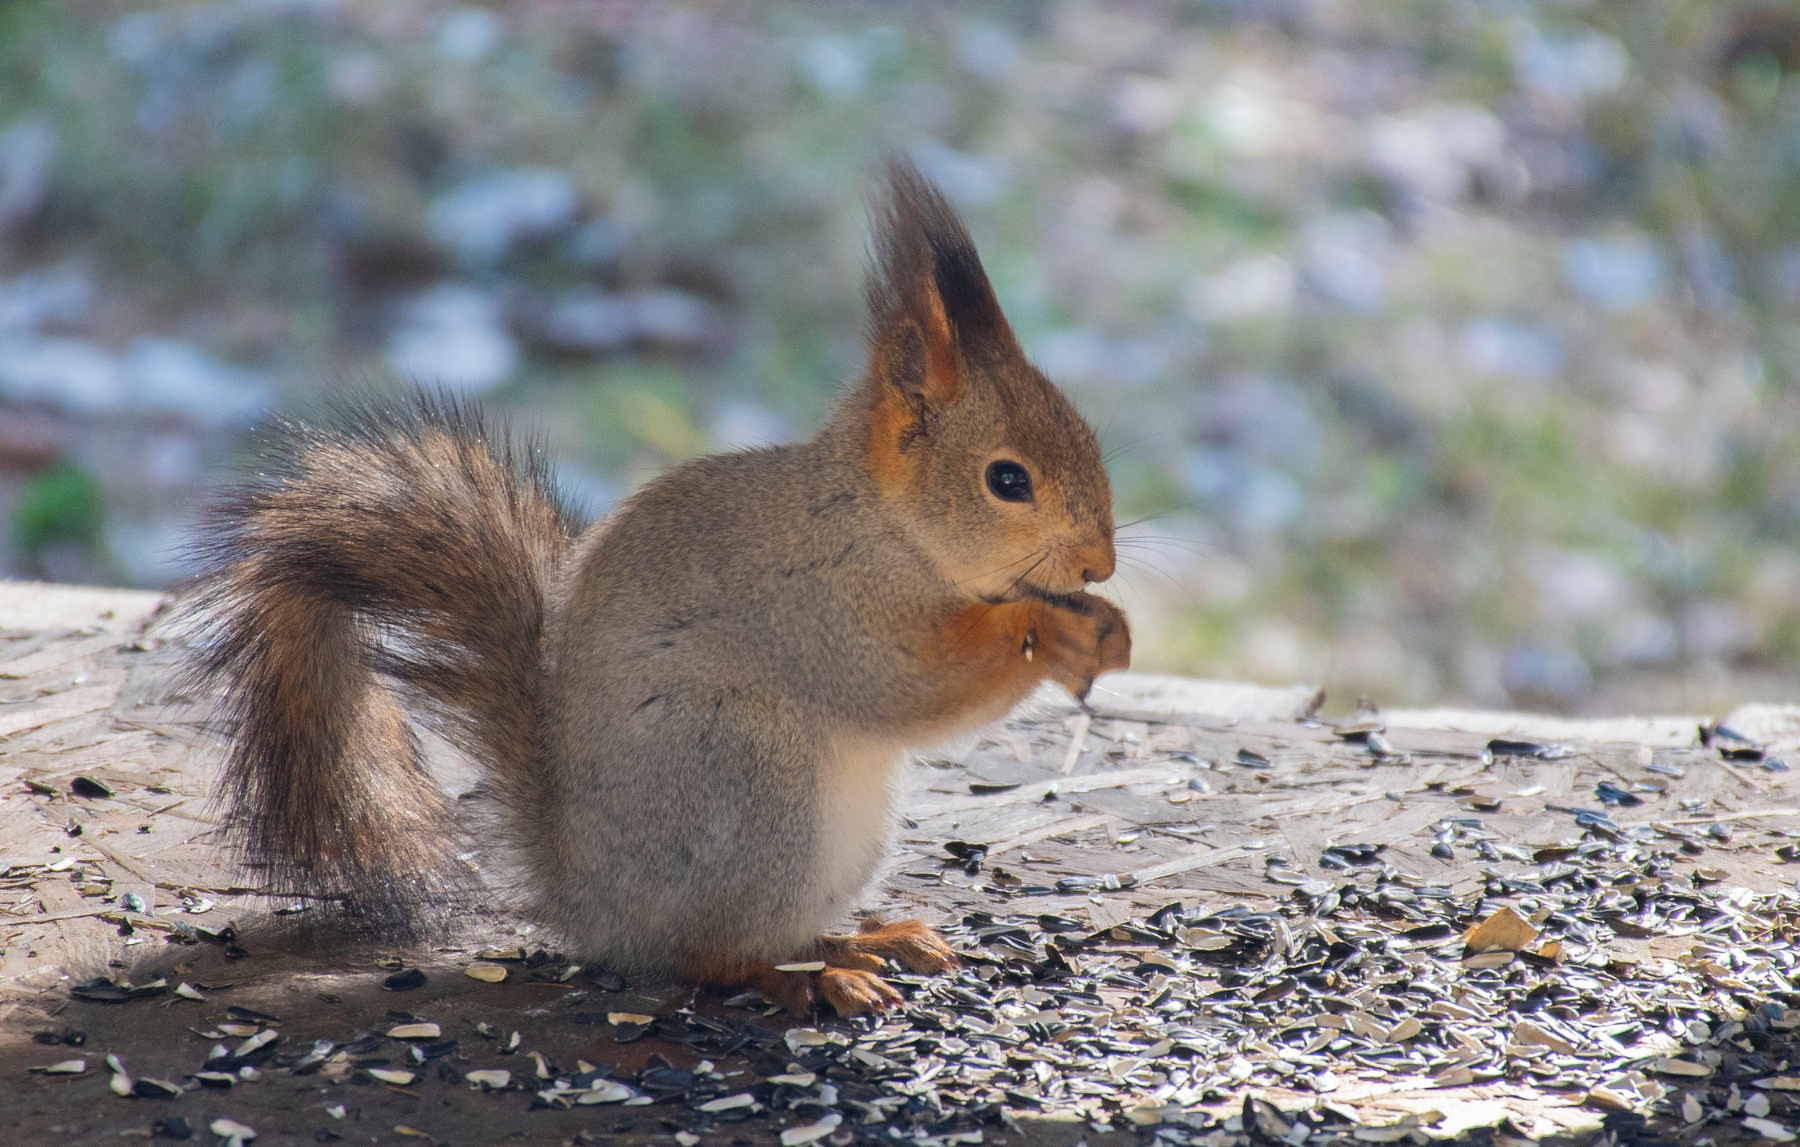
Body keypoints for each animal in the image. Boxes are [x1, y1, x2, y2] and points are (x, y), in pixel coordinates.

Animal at [177, 162, 1130, 1016]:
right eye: (1007, 480)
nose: (1100, 563)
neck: (879, 522)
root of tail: (594, 903)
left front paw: (1106, 624)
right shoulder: (816, 605)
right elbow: (912, 688)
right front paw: (1053, 630)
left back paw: (867, 939)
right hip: (750, 779)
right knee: (712, 954)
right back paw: (818, 976)